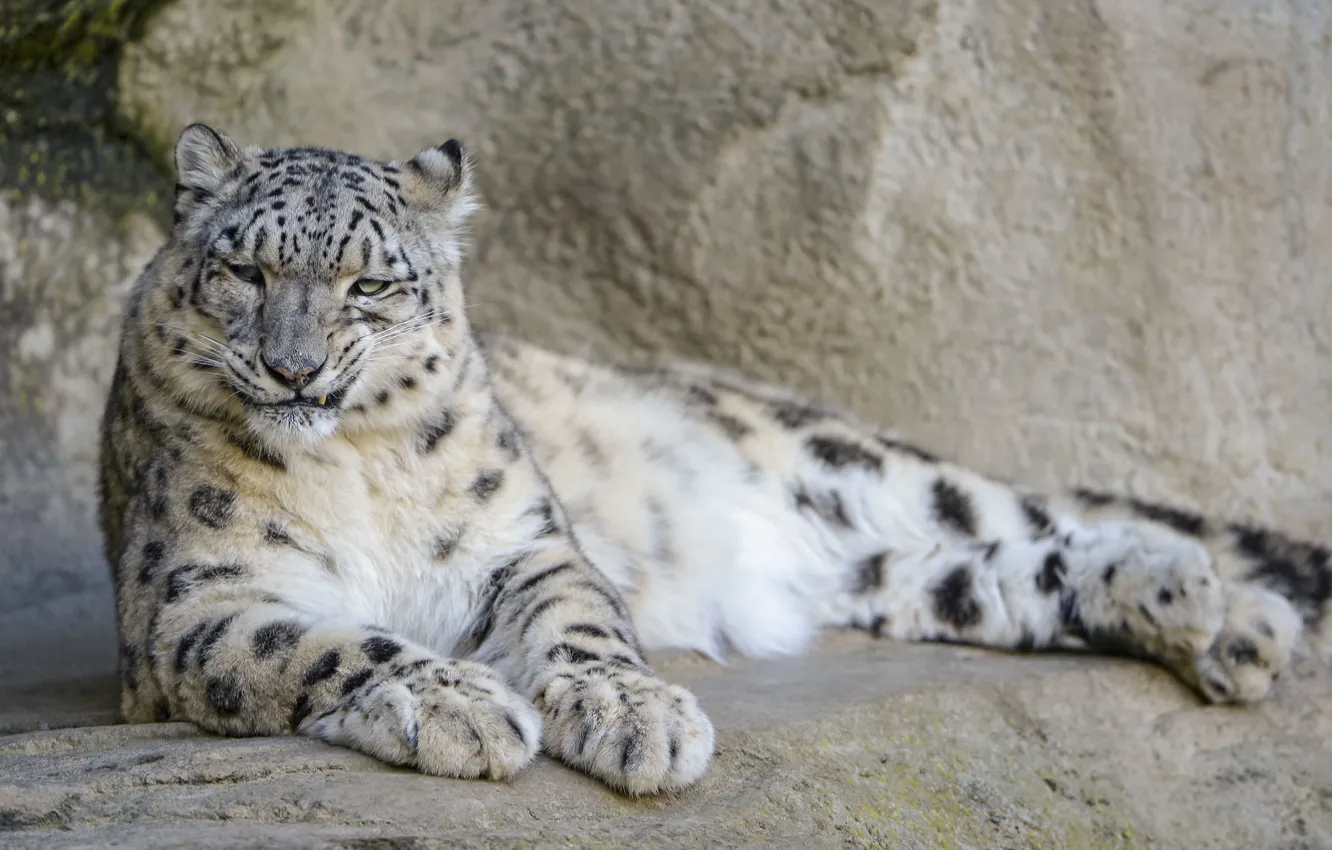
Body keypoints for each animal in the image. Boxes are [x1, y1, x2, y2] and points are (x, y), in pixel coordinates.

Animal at [98, 122, 1332, 797]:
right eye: (246, 273)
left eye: (368, 284)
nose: (296, 369)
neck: (351, 462)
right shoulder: (193, 601)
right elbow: (317, 643)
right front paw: (456, 704)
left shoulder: (527, 544)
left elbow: (583, 624)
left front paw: (637, 718)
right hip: (888, 572)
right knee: (995, 575)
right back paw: (1214, 618)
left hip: (857, 464)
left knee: (1022, 516)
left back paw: (1227, 611)